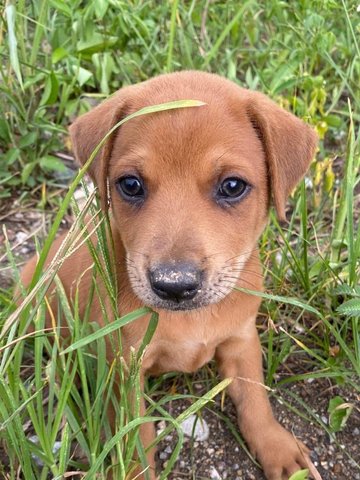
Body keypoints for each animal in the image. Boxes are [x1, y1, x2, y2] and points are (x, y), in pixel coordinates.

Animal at [20, 72, 318, 480]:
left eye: (233, 186)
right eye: (130, 184)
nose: (174, 285)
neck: (191, 320)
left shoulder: (242, 340)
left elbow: (254, 398)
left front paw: (278, 448)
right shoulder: (125, 370)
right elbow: (135, 438)